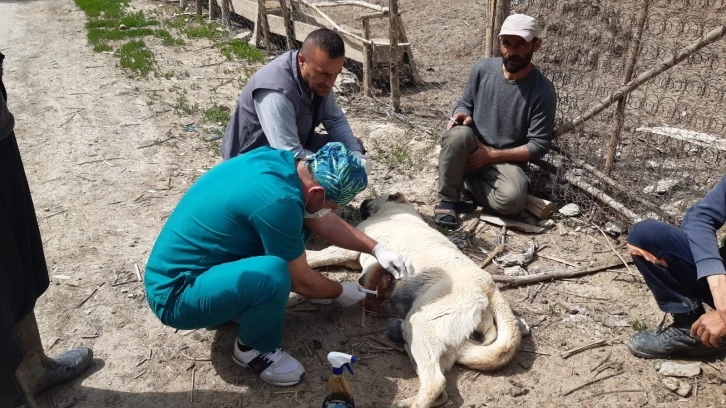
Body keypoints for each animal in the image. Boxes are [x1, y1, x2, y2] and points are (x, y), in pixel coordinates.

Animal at [308, 193, 524, 406]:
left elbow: (317, 256)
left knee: (435, 383)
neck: (397, 210)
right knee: (441, 391)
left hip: (421, 325)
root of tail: (491, 288)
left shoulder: (348, 248)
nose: (363, 201)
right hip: (433, 339)